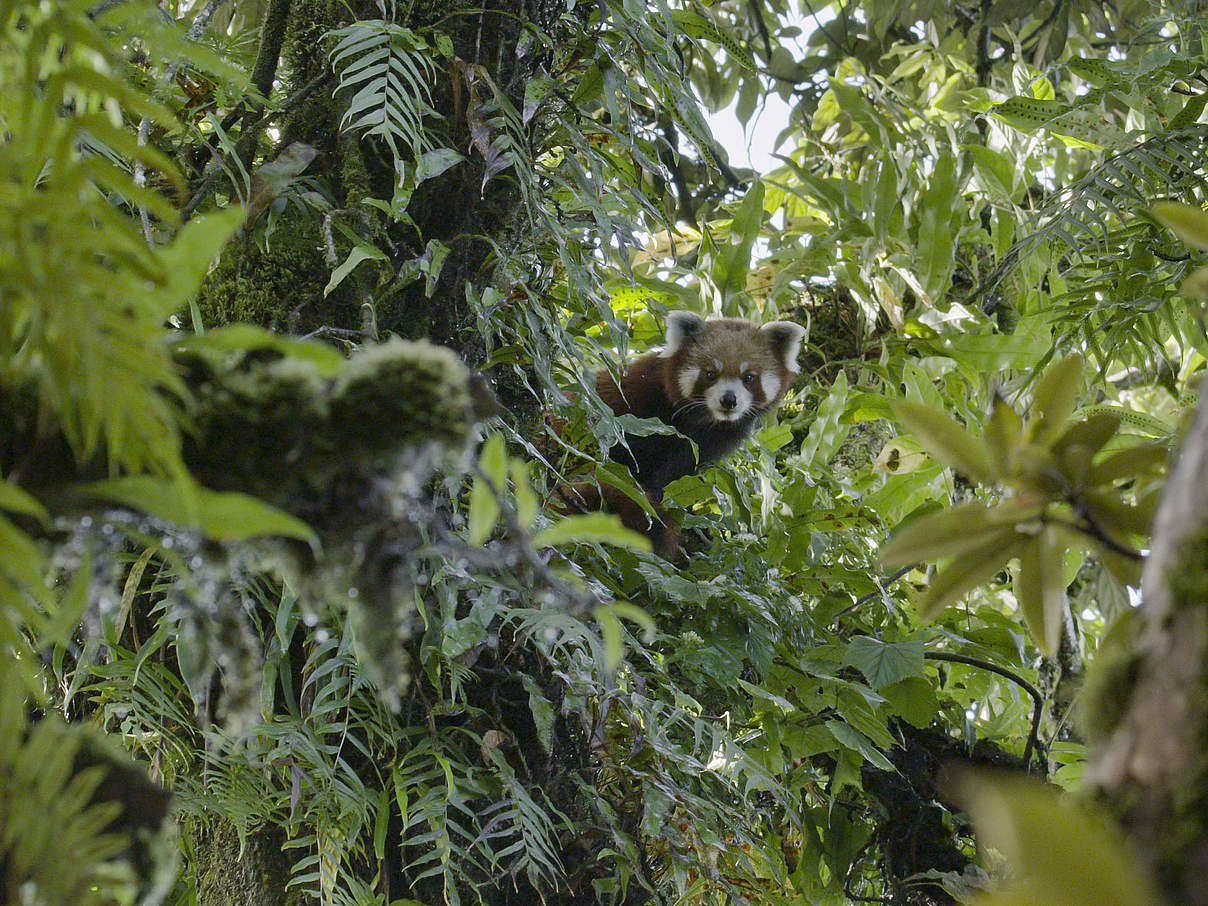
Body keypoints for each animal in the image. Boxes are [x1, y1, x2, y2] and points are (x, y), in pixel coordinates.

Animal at [562, 311, 802, 553]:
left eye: (749, 378)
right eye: (711, 374)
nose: (729, 399)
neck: (701, 420)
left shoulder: (705, 444)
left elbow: (675, 474)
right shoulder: (635, 409)